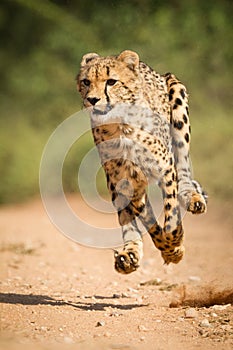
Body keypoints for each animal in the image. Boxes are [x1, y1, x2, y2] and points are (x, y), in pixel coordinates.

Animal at [76, 50, 206, 274]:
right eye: (86, 81)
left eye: (111, 81)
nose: (92, 99)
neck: (119, 126)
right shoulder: (128, 183)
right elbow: (149, 222)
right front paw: (169, 249)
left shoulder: (165, 167)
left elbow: (171, 210)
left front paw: (175, 243)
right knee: (127, 217)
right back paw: (128, 255)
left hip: (177, 95)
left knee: (184, 169)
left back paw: (192, 196)